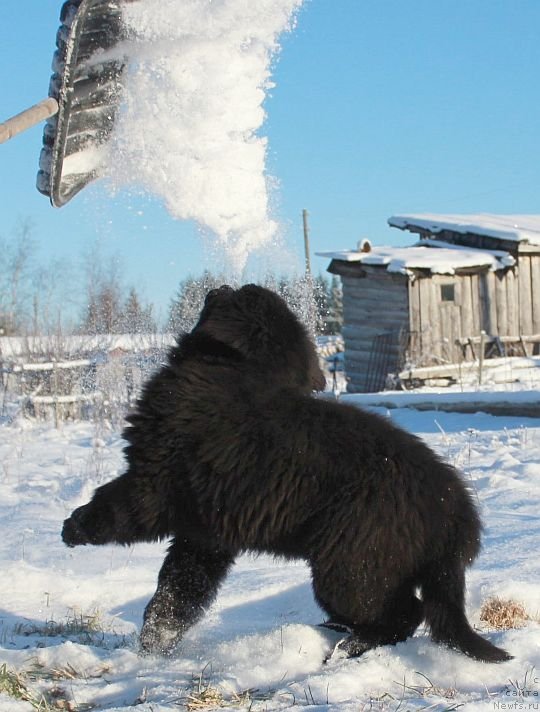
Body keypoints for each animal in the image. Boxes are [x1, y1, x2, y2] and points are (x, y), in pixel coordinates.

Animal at [62, 282, 510, 660]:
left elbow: (115, 508)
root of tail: (455, 512)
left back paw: (350, 646)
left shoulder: (154, 482)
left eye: (241, 295)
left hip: (350, 565)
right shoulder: (206, 533)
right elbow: (179, 590)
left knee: (405, 611)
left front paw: (73, 528)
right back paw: (341, 632)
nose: (220, 284)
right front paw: (156, 642)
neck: (237, 372)